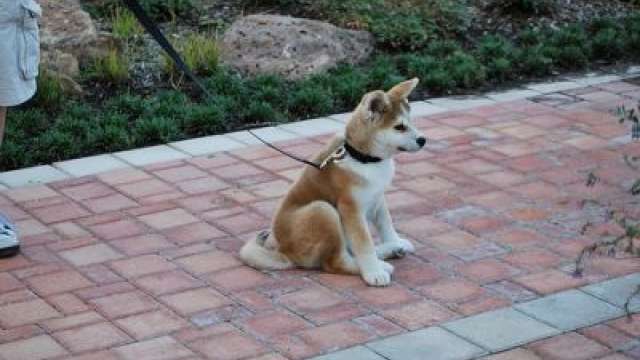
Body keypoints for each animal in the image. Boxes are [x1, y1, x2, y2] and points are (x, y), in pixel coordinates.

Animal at [239, 79, 424, 286]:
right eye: (399, 127)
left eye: (410, 123)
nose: (423, 140)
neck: (363, 158)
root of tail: (285, 252)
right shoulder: (350, 209)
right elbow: (364, 244)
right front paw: (373, 272)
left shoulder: (377, 198)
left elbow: (386, 225)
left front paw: (395, 241)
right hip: (323, 210)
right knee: (335, 262)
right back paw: (380, 265)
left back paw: (391, 249)